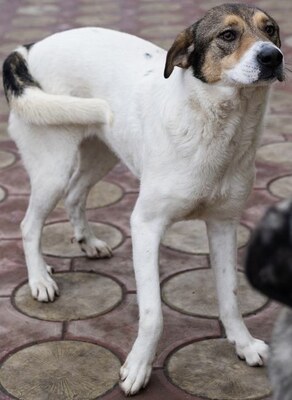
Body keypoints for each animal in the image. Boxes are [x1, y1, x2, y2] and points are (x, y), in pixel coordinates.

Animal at [2, 3, 284, 396]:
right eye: (228, 35)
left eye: (270, 30)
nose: (273, 57)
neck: (219, 129)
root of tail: (27, 49)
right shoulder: (146, 225)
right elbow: (153, 314)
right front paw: (138, 367)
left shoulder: (224, 225)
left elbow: (230, 298)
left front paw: (243, 344)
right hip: (53, 167)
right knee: (29, 224)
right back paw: (40, 280)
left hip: (102, 152)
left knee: (75, 194)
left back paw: (88, 242)